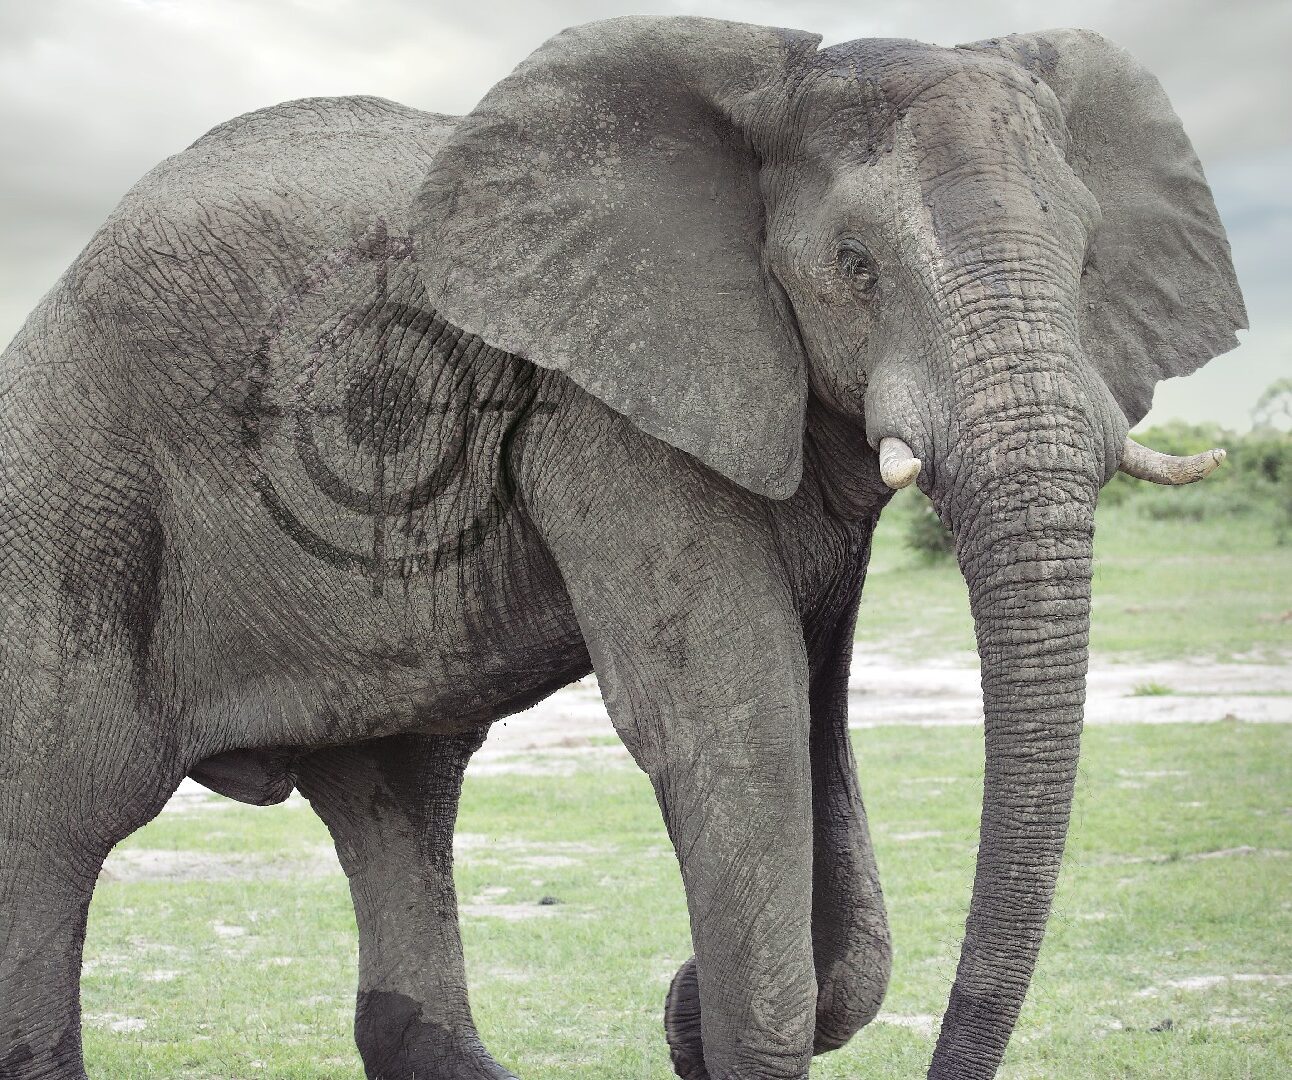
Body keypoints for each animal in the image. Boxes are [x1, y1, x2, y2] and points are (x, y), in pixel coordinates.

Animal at [0, 15, 1245, 1080]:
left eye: (1085, 264)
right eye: (854, 266)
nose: (672, 996)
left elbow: (814, 724)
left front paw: (691, 1007)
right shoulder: (602, 411)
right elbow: (729, 719)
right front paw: (707, 1007)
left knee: (398, 795)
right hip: (67, 502)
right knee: (55, 822)